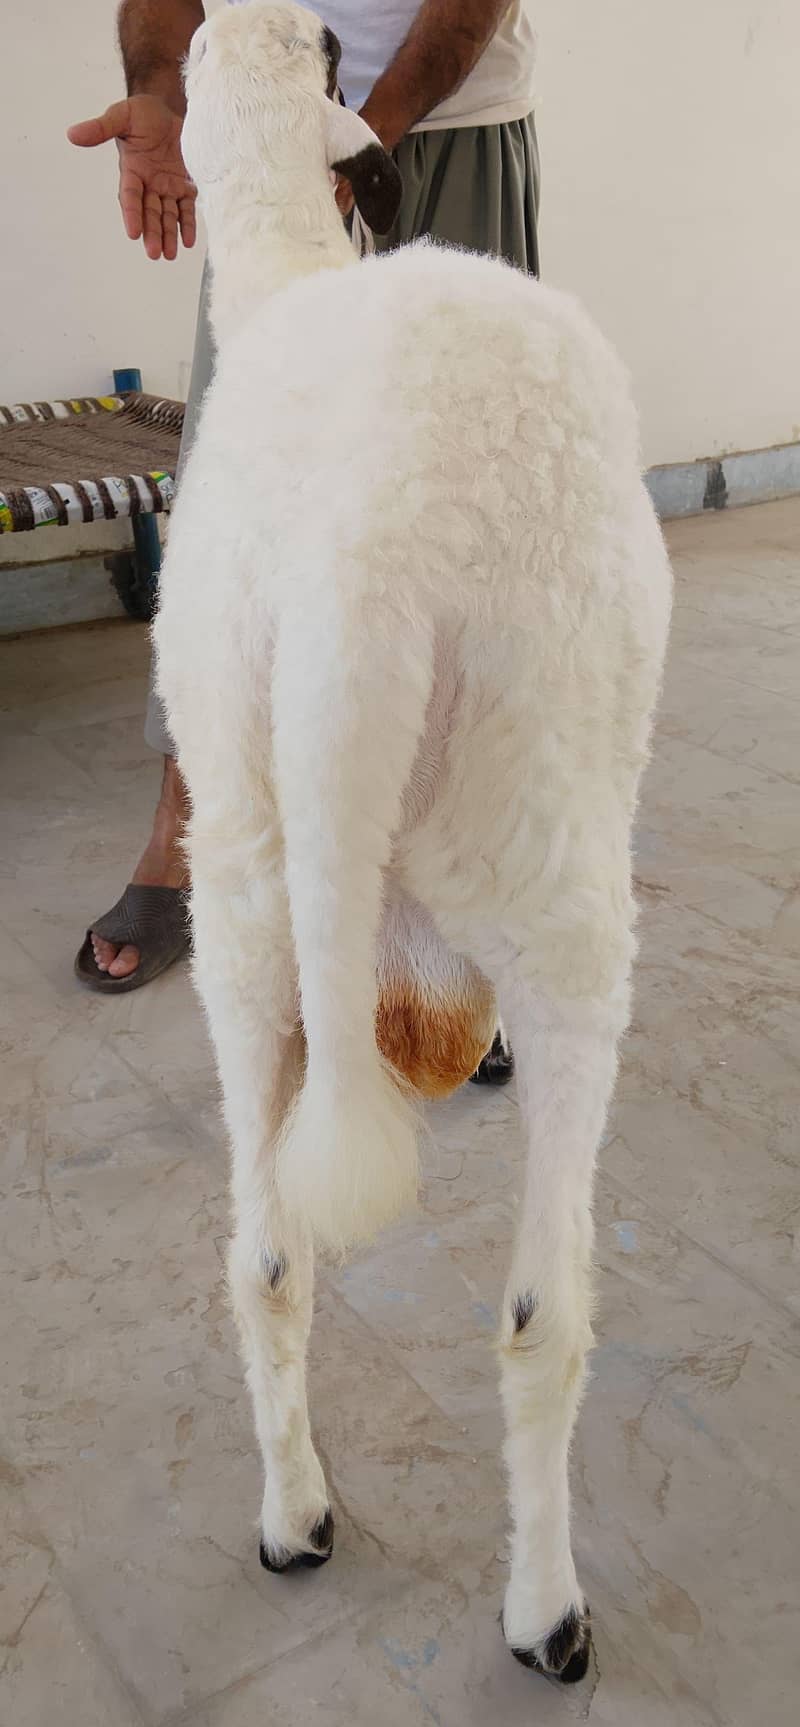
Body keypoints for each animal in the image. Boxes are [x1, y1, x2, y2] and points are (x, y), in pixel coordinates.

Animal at [153, 0, 672, 1684]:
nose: (332, 35)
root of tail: (357, 568)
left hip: (246, 905)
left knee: (263, 1254)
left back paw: (294, 1517)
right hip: (559, 877)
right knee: (540, 1312)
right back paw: (547, 1612)